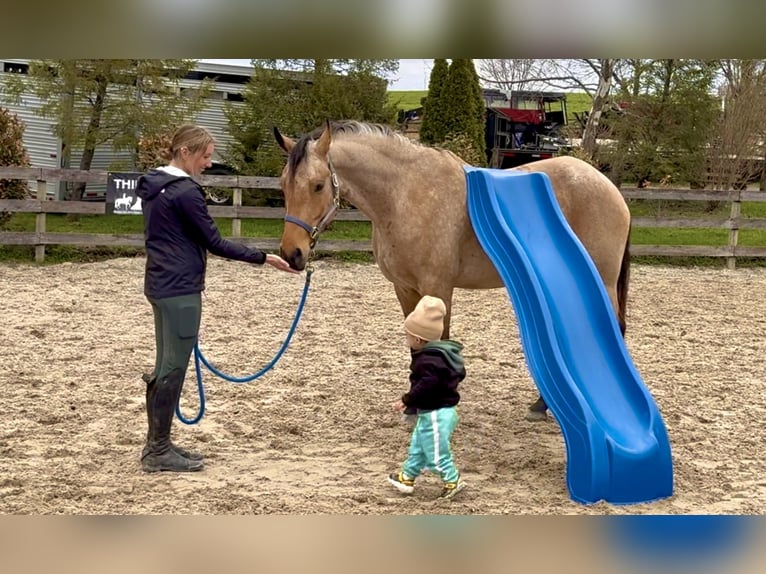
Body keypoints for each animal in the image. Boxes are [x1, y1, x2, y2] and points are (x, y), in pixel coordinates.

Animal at [273, 120, 631, 421]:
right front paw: (413, 405)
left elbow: (438, 343)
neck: (404, 195)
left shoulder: (437, 287)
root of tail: (610, 188)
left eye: (318, 186)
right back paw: (542, 405)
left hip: (601, 279)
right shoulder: (405, 288)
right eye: (283, 185)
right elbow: (416, 345)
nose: (293, 254)